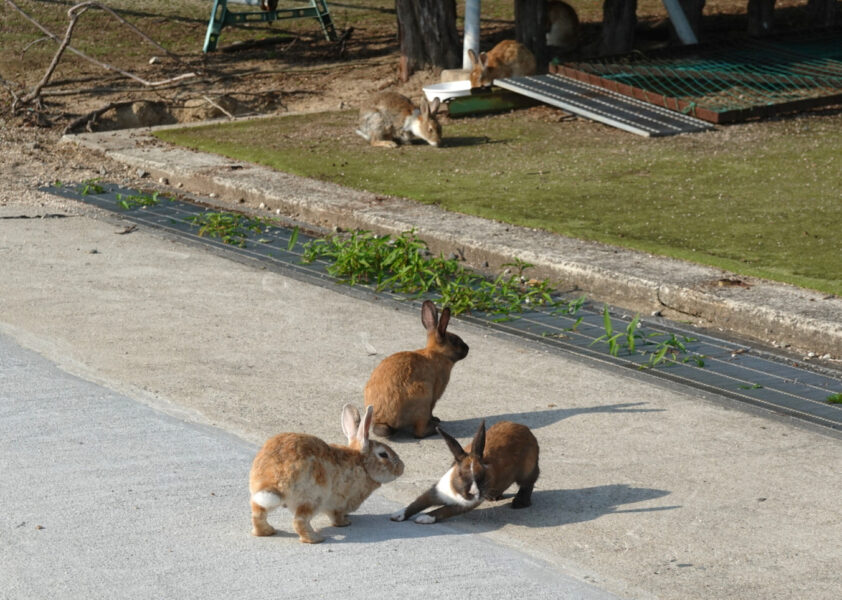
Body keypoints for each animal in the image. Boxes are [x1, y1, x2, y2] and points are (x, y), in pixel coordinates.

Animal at [246, 404, 404, 544]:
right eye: (383, 455)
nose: (402, 468)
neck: (362, 465)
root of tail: (274, 478)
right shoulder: (339, 503)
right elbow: (336, 516)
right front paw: (345, 523)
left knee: (258, 514)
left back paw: (267, 531)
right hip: (314, 497)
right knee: (299, 521)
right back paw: (316, 539)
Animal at [360, 298, 466, 436]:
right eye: (455, 340)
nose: (467, 348)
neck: (437, 354)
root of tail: (383, 421)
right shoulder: (435, 395)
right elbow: (432, 410)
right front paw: (435, 419)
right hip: (423, 397)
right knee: (419, 431)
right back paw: (434, 427)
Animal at [388, 420, 540, 524]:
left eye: (482, 476)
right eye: (461, 475)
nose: (474, 493)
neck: (456, 492)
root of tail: (523, 428)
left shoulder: (461, 506)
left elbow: (443, 510)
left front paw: (424, 518)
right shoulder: (435, 492)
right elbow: (418, 503)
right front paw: (397, 515)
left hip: (527, 471)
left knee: (528, 484)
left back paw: (519, 503)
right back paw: (494, 497)